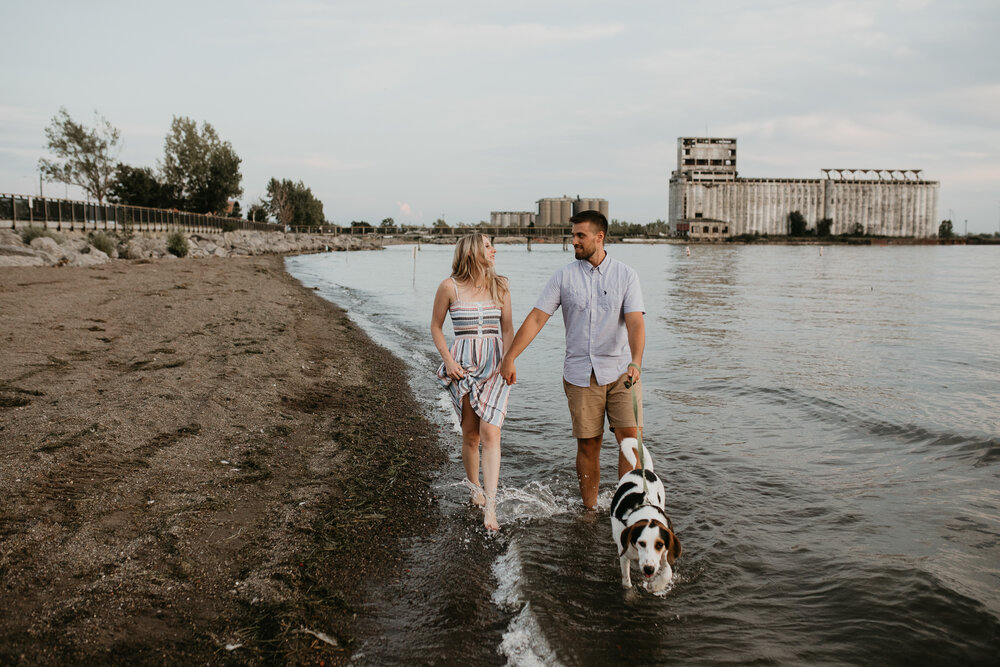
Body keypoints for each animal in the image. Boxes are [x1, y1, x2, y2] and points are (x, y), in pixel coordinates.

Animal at [608, 438, 680, 596]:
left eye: (659, 545)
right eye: (641, 543)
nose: (649, 569)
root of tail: (643, 470)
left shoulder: (664, 553)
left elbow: (668, 572)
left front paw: (656, 586)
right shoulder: (624, 555)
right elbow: (626, 582)